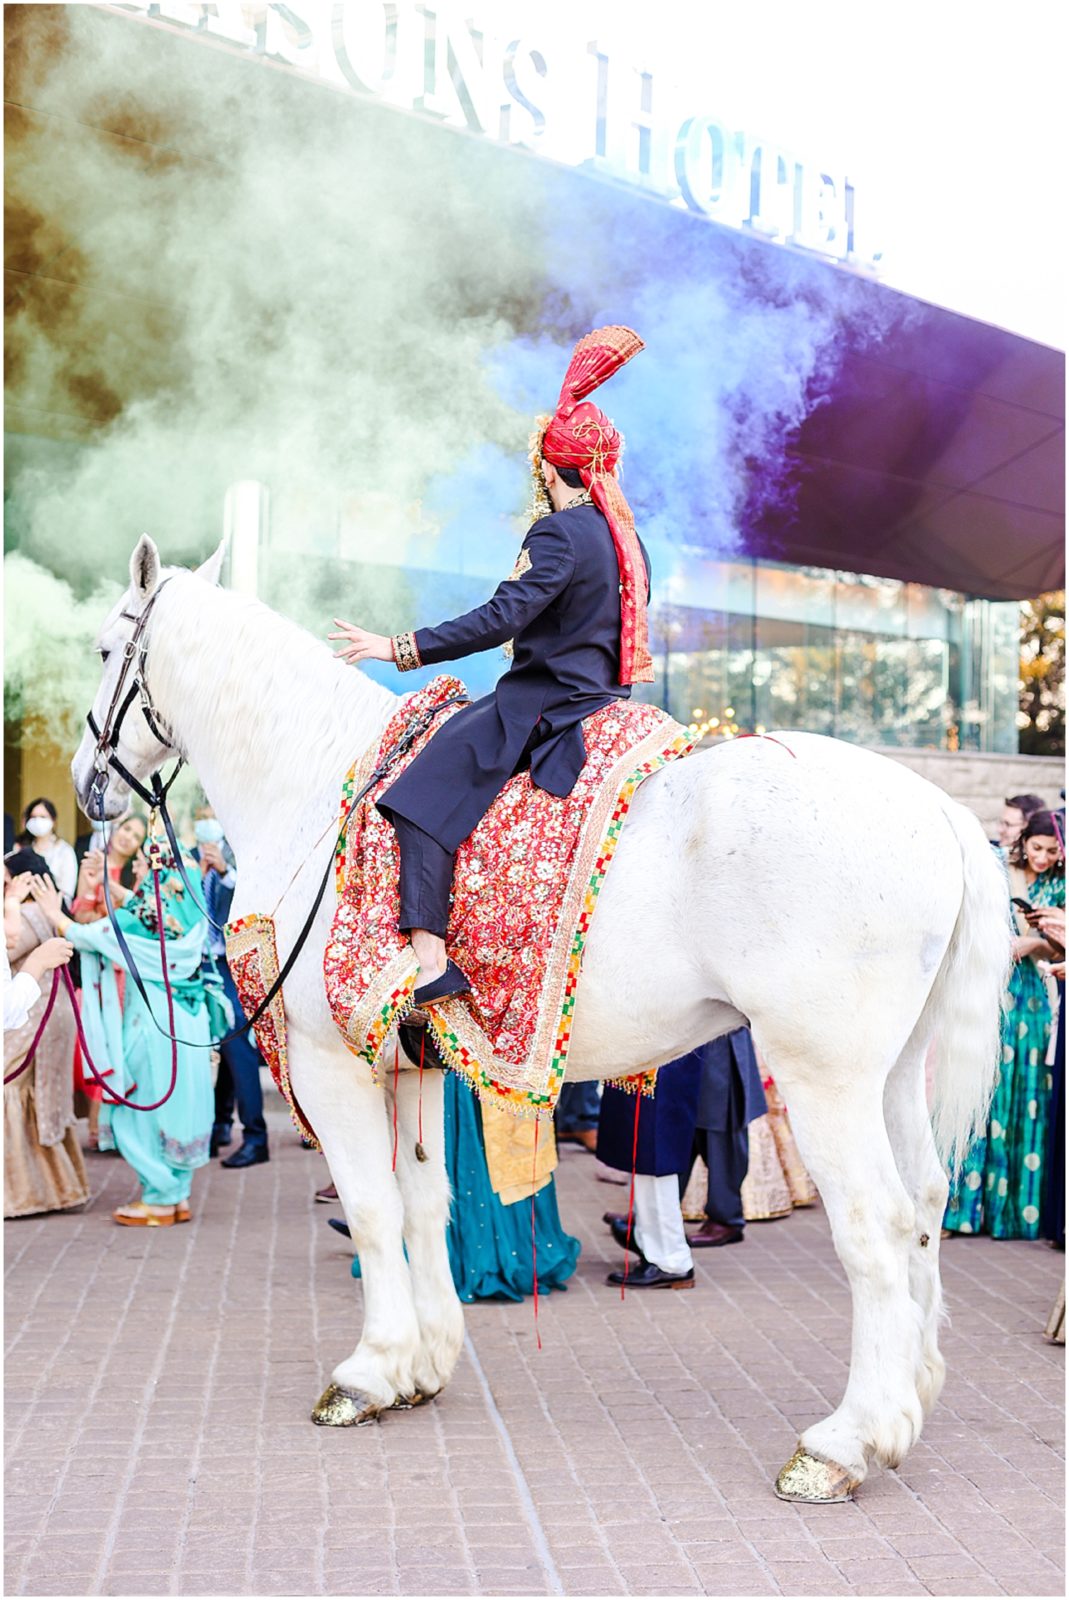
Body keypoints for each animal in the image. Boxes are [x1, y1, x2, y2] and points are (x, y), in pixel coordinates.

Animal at [68, 537, 1011, 1497]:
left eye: (105, 650)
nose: (85, 786)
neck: (314, 787)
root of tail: (938, 809)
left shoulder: (333, 1060)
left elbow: (371, 1210)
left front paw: (368, 1371)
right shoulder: (410, 1066)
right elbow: (423, 1208)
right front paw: (422, 1364)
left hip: (825, 1080)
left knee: (876, 1226)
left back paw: (844, 1441)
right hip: (892, 1073)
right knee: (925, 1203)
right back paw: (906, 1402)